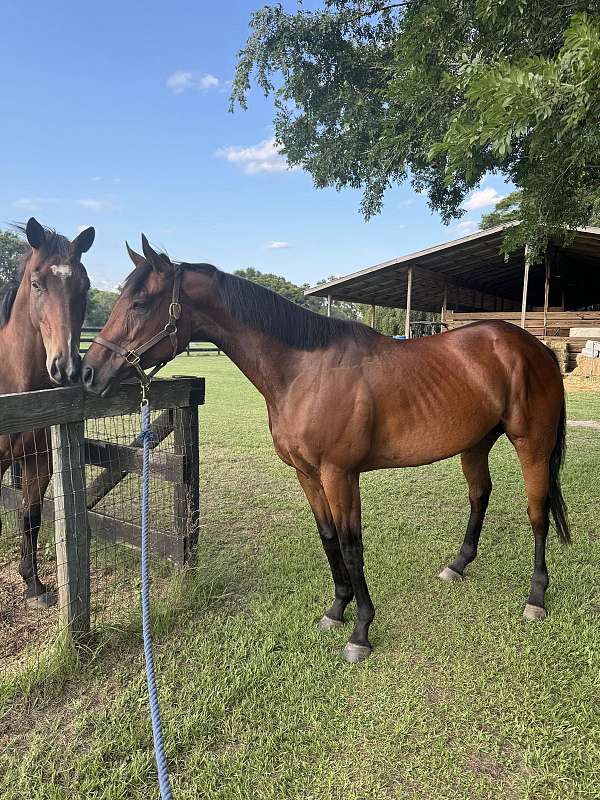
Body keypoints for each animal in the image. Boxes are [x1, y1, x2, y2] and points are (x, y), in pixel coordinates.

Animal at [82, 238, 568, 664]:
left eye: (140, 302)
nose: (87, 372)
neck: (305, 370)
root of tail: (536, 348)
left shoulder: (340, 474)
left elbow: (352, 547)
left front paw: (361, 632)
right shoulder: (307, 474)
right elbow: (329, 538)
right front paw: (337, 611)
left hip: (531, 445)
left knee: (537, 512)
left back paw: (536, 596)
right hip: (475, 443)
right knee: (479, 495)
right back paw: (458, 565)